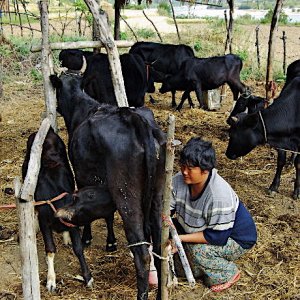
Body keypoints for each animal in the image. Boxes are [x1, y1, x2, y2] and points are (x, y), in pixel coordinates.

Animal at [21, 128, 92, 290]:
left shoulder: (72, 226)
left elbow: (78, 249)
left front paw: (87, 277)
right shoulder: (44, 222)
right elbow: (50, 249)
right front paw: (51, 280)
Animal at [49, 73, 166, 300]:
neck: (82, 107)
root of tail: (135, 120)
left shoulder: (83, 177)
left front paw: (87, 238)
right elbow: (108, 214)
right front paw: (111, 243)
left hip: (126, 195)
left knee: (142, 255)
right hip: (157, 194)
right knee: (158, 247)